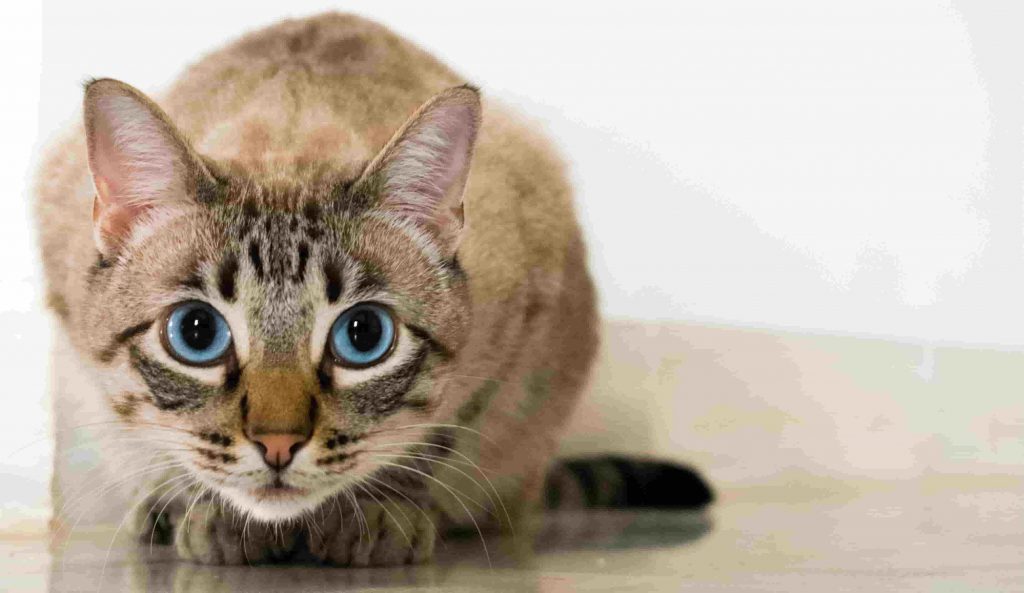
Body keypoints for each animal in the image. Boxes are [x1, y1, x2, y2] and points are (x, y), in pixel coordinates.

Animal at [34, 11, 712, 565]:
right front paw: (212, 517)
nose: (277, 444)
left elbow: (434, 432)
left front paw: (379, 517)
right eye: (196, 333)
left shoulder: (522, 319)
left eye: (363, 336)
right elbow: (162, 436)